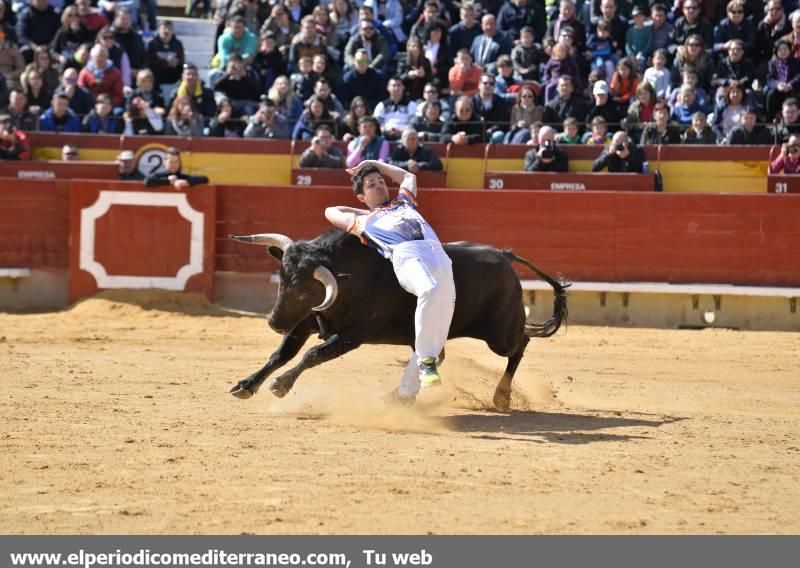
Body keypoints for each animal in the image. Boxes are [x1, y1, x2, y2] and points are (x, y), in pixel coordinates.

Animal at [228, 229, 568, 410]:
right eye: (283, 281)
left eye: (304, 290)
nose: (274, 323)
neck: (351, 274)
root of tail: (504, 255)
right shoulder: (308, 321)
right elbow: (282, 353)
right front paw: (246, 385)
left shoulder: (353, 335)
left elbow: (312, 354)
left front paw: (281, 386)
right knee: (435, 356)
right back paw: (399, 397)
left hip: (499, 334)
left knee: (520, 344)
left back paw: (501, 397)